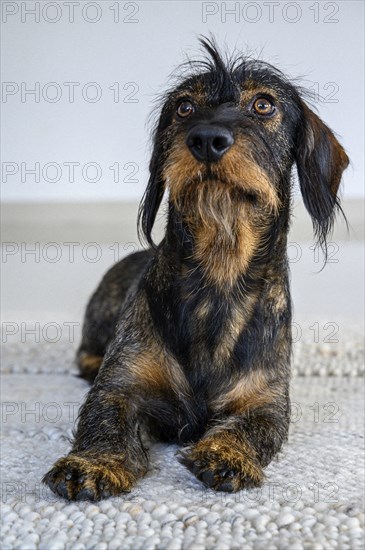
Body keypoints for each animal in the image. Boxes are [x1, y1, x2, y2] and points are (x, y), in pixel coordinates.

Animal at [42, 38, 346, 502]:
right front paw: (92, 464)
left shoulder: (267, 401)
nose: (206, 139)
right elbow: (104, 414)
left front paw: (226, 454)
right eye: (184, 107)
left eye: (264, 104)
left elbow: (256, 427)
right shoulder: (122, 384)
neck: (218, 277)